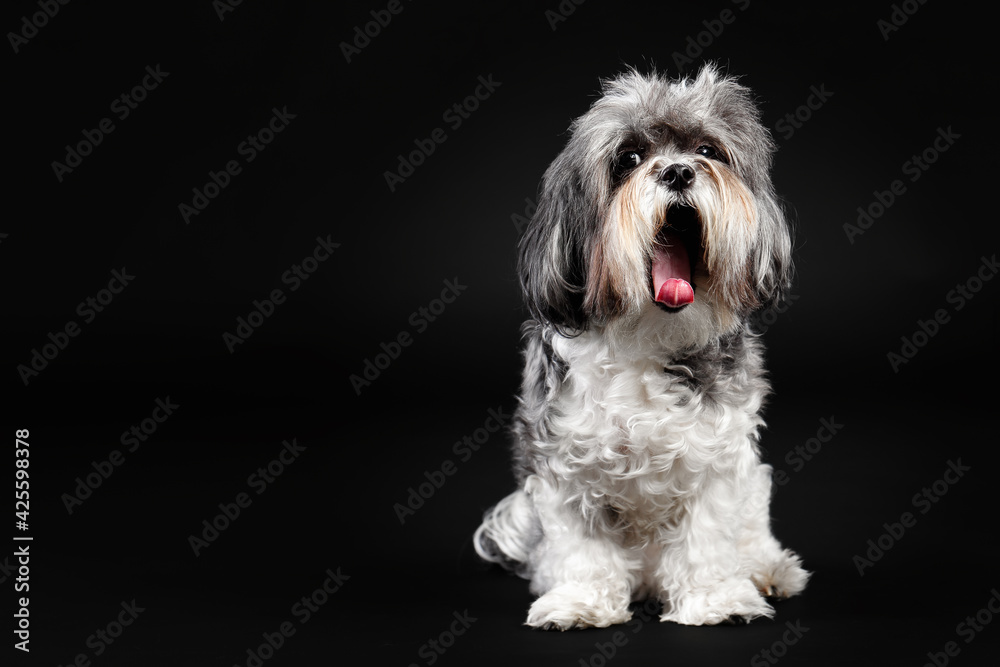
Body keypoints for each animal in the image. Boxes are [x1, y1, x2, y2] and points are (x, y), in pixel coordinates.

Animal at [472, 66, 808, 632]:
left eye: (708, 150)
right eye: (628, 159)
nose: (677, 172)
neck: (648, 338)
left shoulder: (718, 461)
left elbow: (707, 536)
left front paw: (714, 599)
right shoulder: (563, 464)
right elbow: (583, 545)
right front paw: (581, 601)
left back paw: (769, 570)